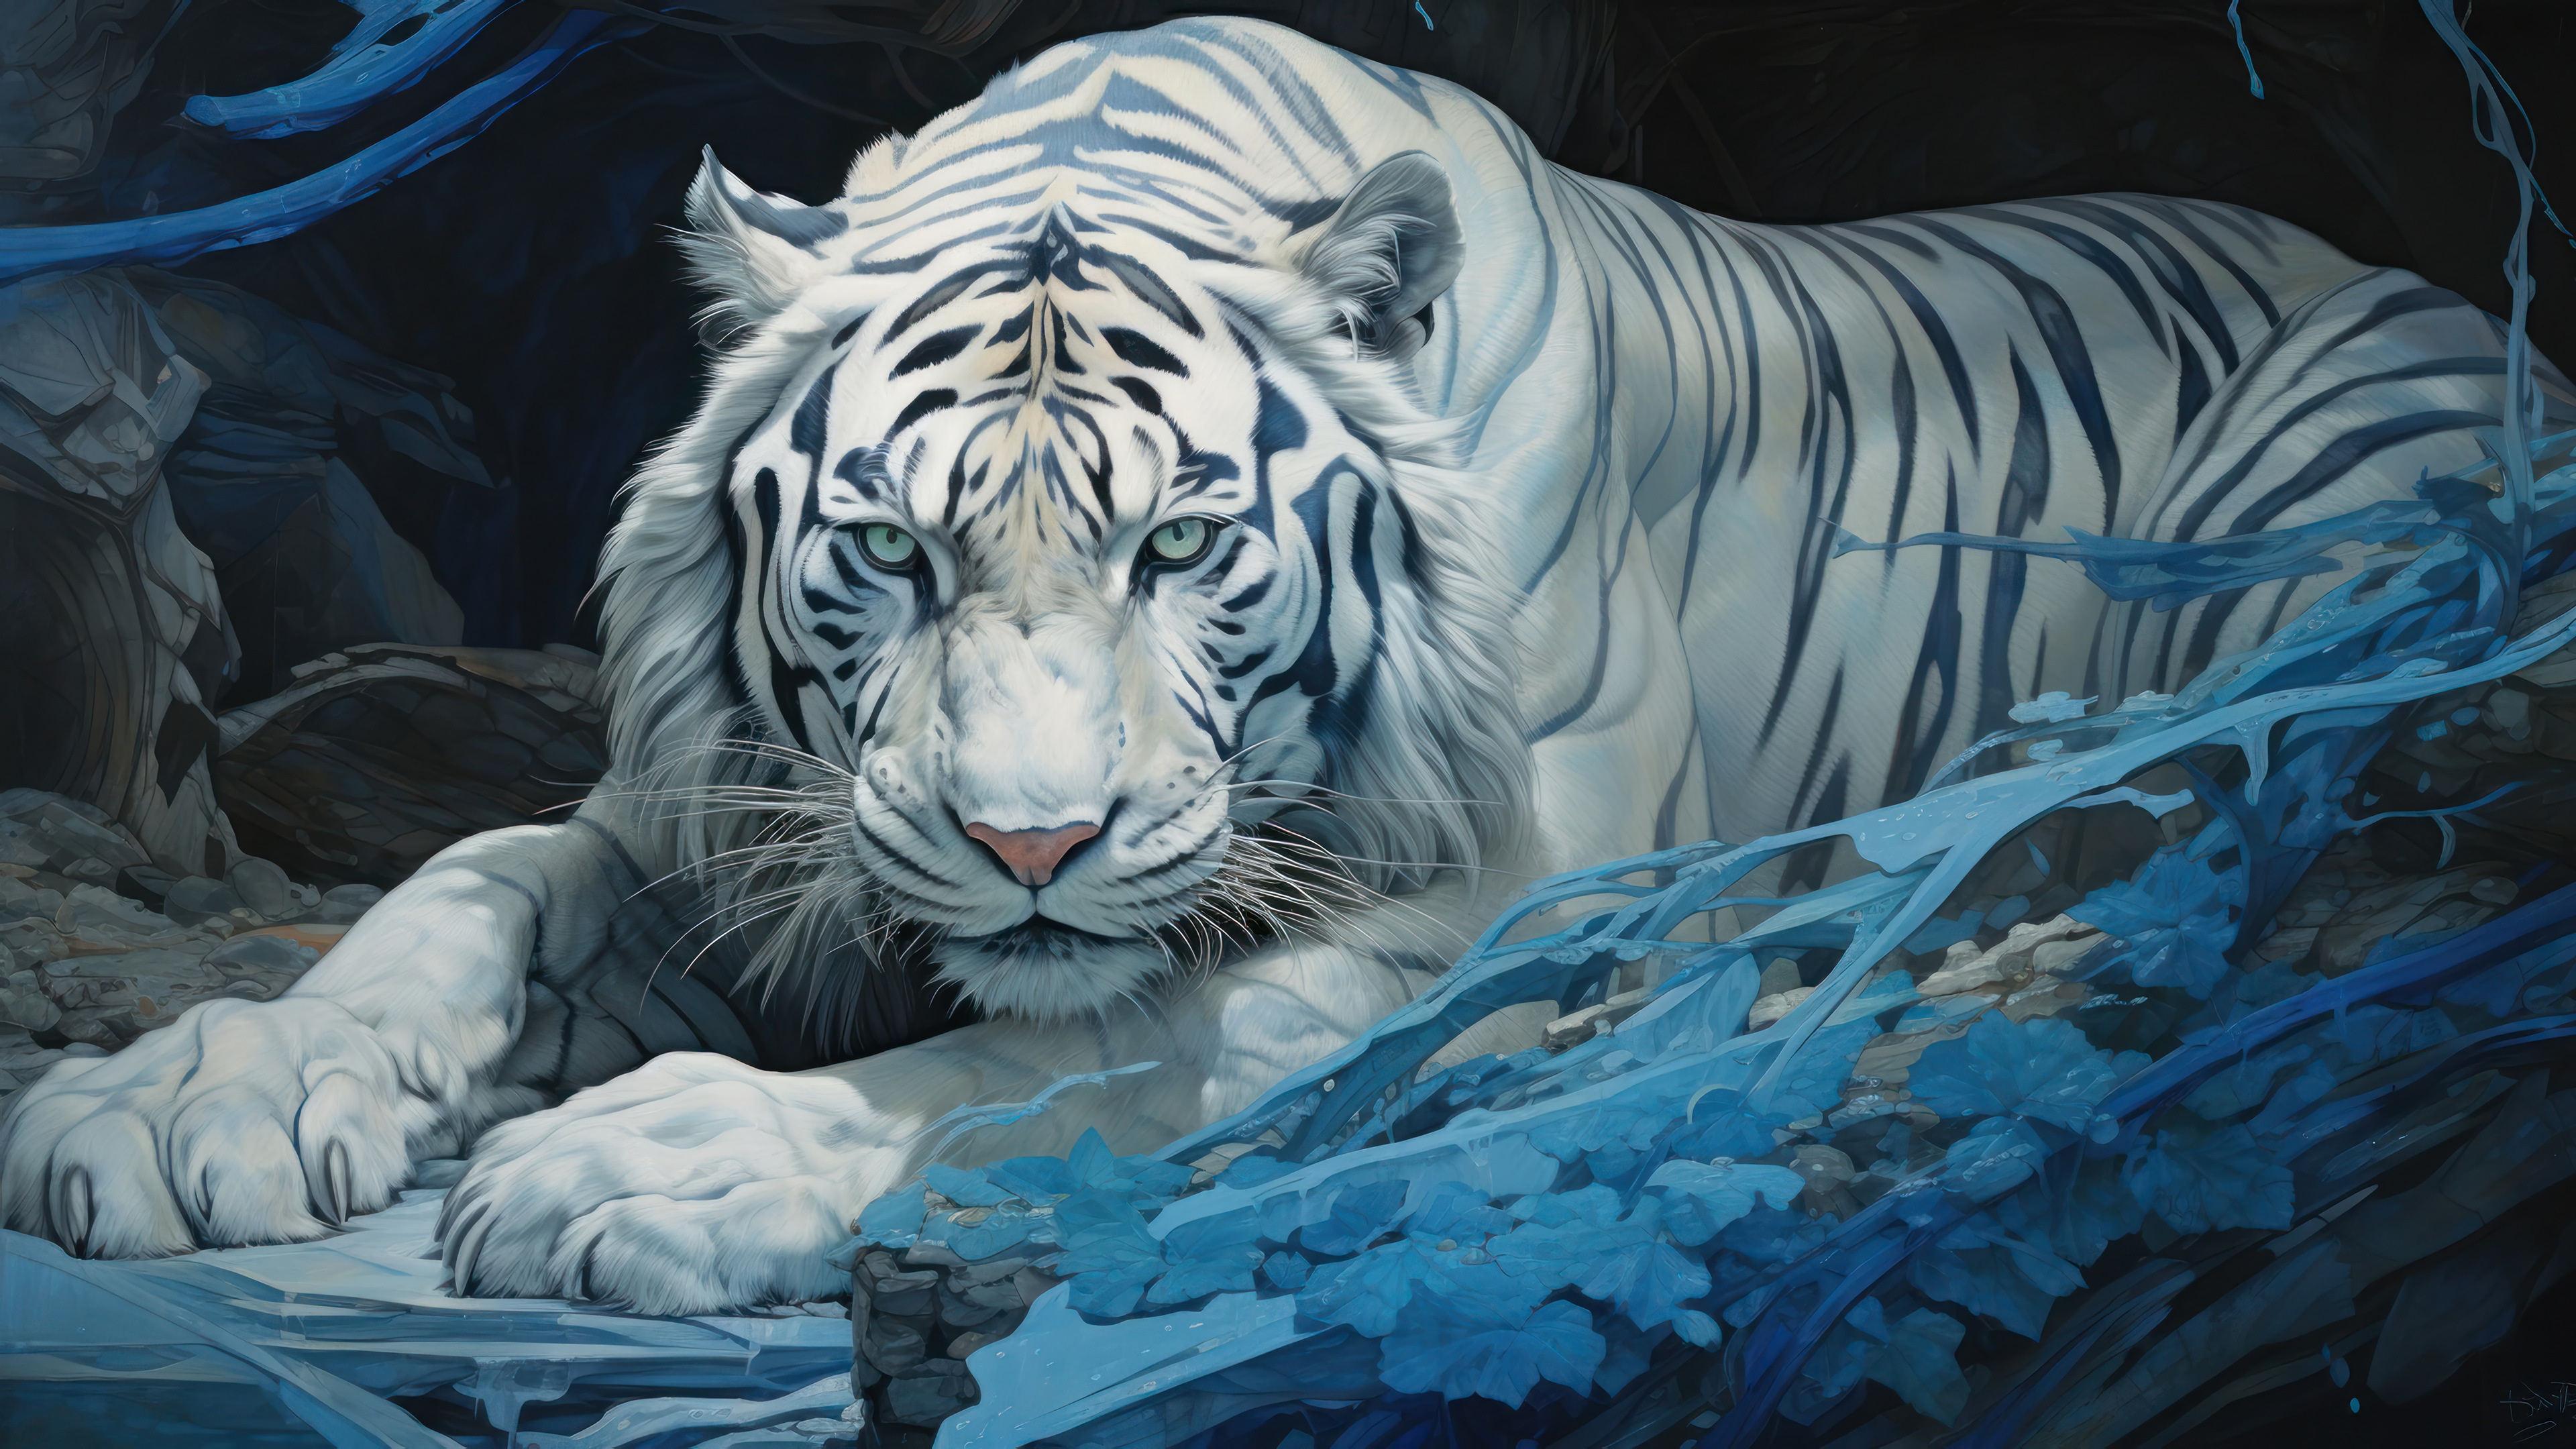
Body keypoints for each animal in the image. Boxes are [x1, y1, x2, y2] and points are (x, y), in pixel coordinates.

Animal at [4, 17, 2561, 1315]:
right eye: (889, 554)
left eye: (1182, 544)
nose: (1030, 843)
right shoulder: (740, 817)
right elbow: (470, 887)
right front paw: (185, 1102)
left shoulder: (1498, 904)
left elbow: (1079, 1049)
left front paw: (663, 1161)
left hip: (2340, 469)